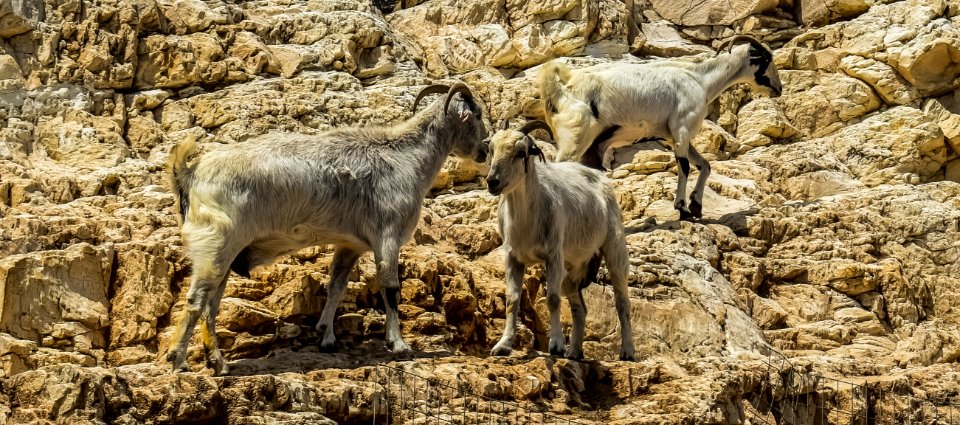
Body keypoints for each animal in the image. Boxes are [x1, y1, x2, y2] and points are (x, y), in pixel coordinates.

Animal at [163, 83, 488, 374]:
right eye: (478, 114)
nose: (485, 150)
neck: (405, 158)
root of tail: (190, 173)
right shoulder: (387, 236)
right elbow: (391, 290)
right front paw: (398, 345)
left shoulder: (350, 244)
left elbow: (336, 286)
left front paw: (327, 337)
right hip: (215, 246)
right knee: (197, 300)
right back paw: (180, 361)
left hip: (227, 254)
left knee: (211, 304)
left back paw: (216, 363)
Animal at [484, 119, 632, 362]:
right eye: (491, 149)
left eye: (521, 152)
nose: (492, 181)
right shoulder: (513, 256)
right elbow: (512, 299)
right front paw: (503, 345)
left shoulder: (553, 255)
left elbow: (552, 299)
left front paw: (556, 345)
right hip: (572, 268)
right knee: (580, 308)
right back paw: (575, 352)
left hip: (614, 246)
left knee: (622, 302)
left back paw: (627, 351)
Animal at [540, 35, 780, 220]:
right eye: (766, 59)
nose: (779, 88)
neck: (700, 80)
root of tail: (560, 86)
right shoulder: (682, 128)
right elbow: (685, 166)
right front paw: (683, 209)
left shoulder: (673, 135)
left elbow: (705, 165)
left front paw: (696, 205)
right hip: (576, 138)